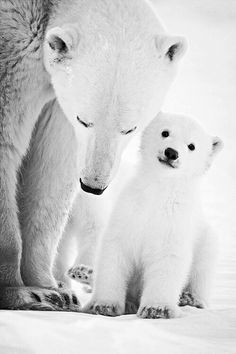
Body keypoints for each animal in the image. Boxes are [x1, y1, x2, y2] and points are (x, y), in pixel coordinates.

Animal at [0, 0, 186, 310]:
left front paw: (51, 290)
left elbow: (53, 166)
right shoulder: (12, 62)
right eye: (84, 119)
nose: (92, 186)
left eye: (130, 128)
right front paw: (22, 292)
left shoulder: (57, 101)